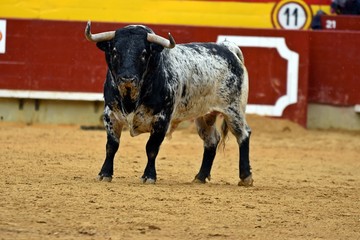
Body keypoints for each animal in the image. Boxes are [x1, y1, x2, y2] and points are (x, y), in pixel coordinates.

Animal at [84, 21, 253, 186]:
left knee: (243, 135)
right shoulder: (110, 115)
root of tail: (228, 48)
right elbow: (111, 146)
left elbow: (151, 148)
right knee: (211, 141)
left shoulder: (162, 120)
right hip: (204, 115)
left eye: (144, 54)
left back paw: (245, 177)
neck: (131, 98)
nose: (127, 78)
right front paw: (104, 174)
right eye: (114, 52)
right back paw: (200, 177)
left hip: (234, 110)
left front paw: (149, 176)